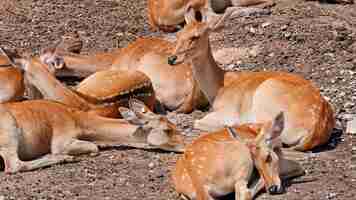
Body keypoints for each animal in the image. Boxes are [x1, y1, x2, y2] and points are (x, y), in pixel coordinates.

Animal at [0, 97, 185, 173]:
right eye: (167, 130)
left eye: (174, 125)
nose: (186, 146)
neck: (79, 121)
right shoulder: (61, 140)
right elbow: (95, 148)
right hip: (9, 130)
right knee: (14, 165)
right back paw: (64, 158)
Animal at [167, 7, 334, 152]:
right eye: (179, 34)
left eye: (195, 37)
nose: (172, 59)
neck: (219, 88)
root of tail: (313, 131)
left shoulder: (227, 112)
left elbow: (198, 121)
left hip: (265, 95)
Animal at [172, 112, 306, 200]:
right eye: (256, 166)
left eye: (268, 157)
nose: (273, 188)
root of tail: (200, 187)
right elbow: (300, 167)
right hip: (242, 158)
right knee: (242, 193)